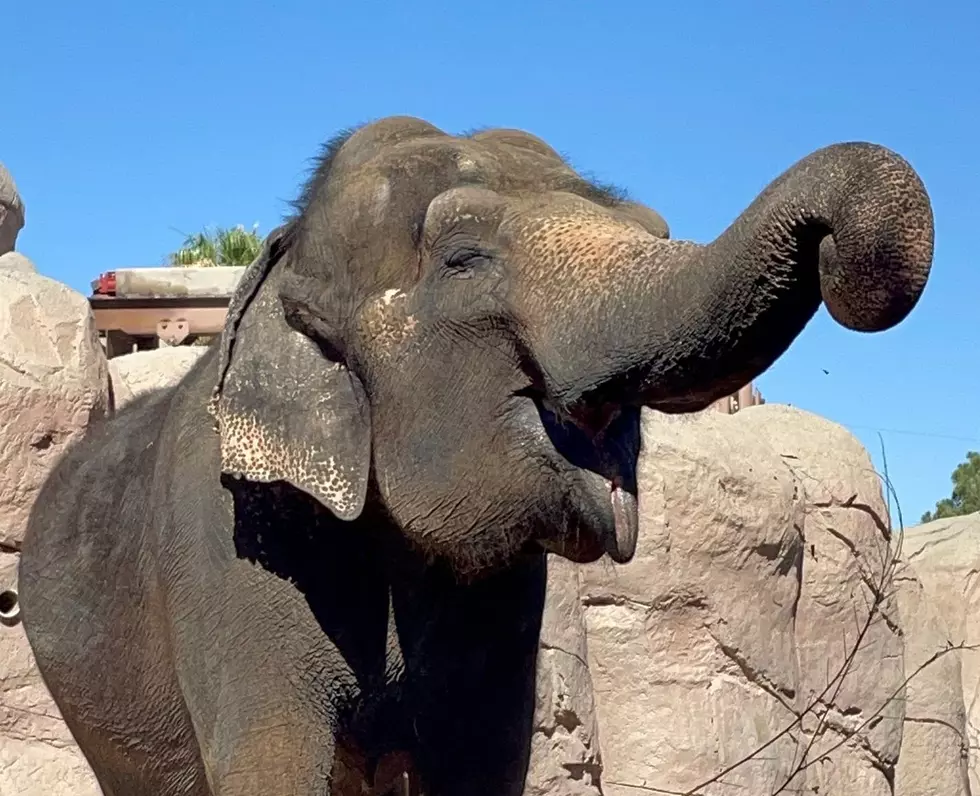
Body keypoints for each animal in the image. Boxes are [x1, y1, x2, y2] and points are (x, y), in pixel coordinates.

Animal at [17, 113, 936, 796]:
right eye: (463, 260)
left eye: (652, 230)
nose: (846, 254)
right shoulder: (230, 543)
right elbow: (271, 762)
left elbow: (483, 764)